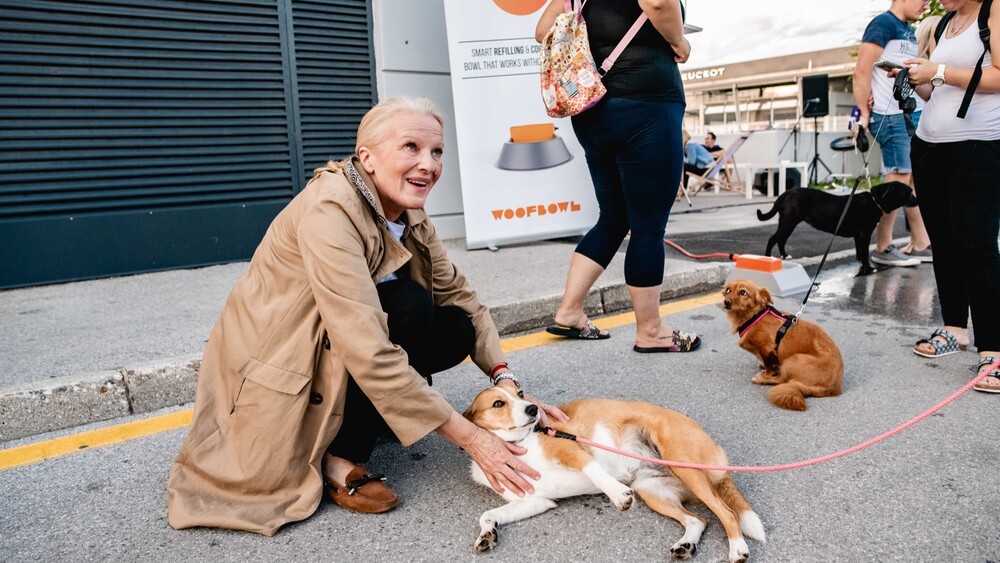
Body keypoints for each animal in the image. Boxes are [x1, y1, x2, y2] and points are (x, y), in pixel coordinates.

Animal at [460, 388, 764, 563]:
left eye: (521, 394)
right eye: (498, 403)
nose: (533, 409)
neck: (521, 444)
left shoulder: (573, 449)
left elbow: (595, 472)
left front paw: (617, 494)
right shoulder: (537, 500)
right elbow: (487, 515)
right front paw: (487, 534)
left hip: (685, 467)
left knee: (726, 512)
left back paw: (737, 549)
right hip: (653, 491)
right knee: (698, 519)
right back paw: (686, 544)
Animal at [724, 280, 840, 410]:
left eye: (743, 292)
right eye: (728, 290)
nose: (726, 302)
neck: (754, 316)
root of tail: (832, 388)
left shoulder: (766, 349)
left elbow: (769, 366)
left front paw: (766, 375)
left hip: (793, 359)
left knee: (783, 380)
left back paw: (762, 379)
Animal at [756, 182, 916, 276]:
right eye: (909, 192)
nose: (917, 200)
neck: (875, 201)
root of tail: (787, 192)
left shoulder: (858, 236)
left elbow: (860, 253)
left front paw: (862, 269)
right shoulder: (865, 234)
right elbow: (864, 253)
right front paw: (869, 269)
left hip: (786, 222)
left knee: (781, 239)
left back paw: (784, 256)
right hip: (789, 222)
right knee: (773, 239)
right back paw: (767, 259)